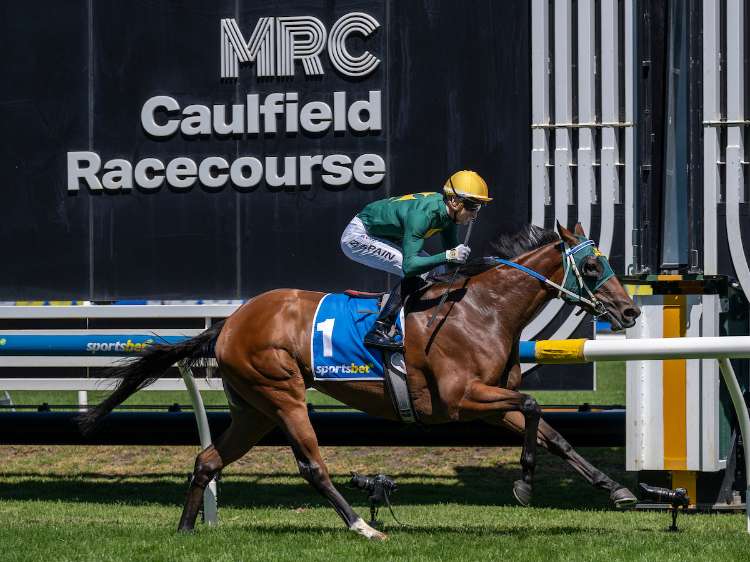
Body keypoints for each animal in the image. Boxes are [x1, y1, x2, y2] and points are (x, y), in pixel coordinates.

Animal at [78, 222, 641, 541]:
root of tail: (230, 322)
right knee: (313, 467)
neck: (482, 309)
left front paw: (616, 490)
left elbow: (553, 433)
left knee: (208, 459)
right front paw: (524, 482)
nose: (631, 311)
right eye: (593, 266)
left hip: (254, 409)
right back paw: (363, 526)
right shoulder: (461, 399)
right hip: (282, 394)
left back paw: (186, 530)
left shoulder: (486, 401)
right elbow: (532, 406)